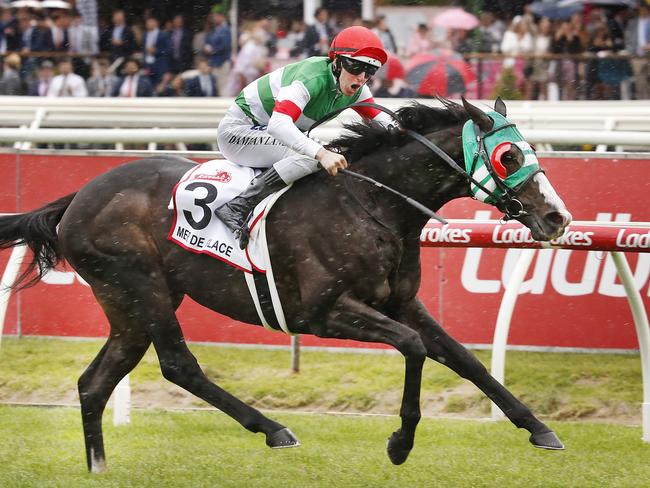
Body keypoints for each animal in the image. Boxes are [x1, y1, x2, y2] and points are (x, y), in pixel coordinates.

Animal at [0, 96, 568, 472]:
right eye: (509, 156)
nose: (557, 218)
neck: (374, 205)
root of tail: (78, 197)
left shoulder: (401, 302)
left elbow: (463, 357)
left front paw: (539, 428)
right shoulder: (323, 312)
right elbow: (413, 348)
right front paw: (400, 443)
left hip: (129, 305)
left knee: (96, 380)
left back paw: (98, 467)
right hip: (141, 285)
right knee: (179, 365)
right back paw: (273, 429)